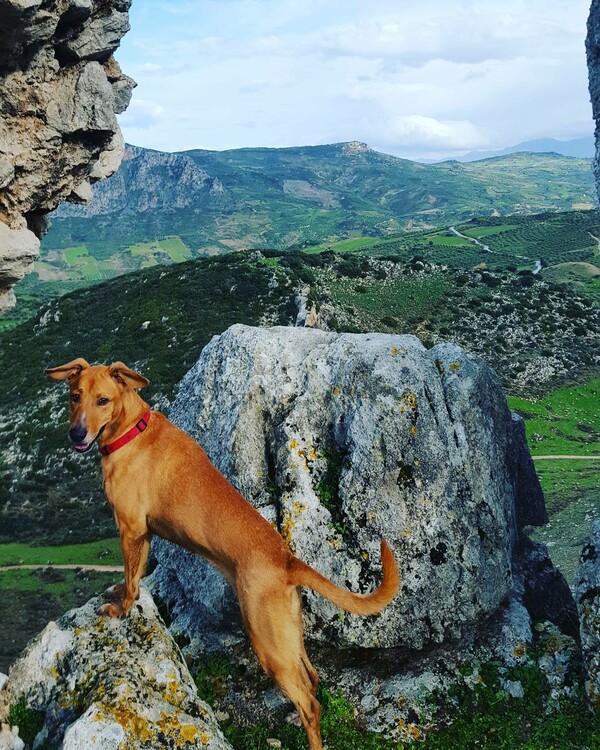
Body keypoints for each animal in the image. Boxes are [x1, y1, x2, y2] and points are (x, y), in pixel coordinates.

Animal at [47, 360, 400, 750]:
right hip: (287, 634)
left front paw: (121, 607)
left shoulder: (131, 530)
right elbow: (135, 576)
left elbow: (131, 580)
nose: (76, 434)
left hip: (267, 642)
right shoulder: (144, 535)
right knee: (312, 678)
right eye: (74, 396)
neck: (132, 431)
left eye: (103, 400)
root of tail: (286, 561)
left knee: (310, 703)